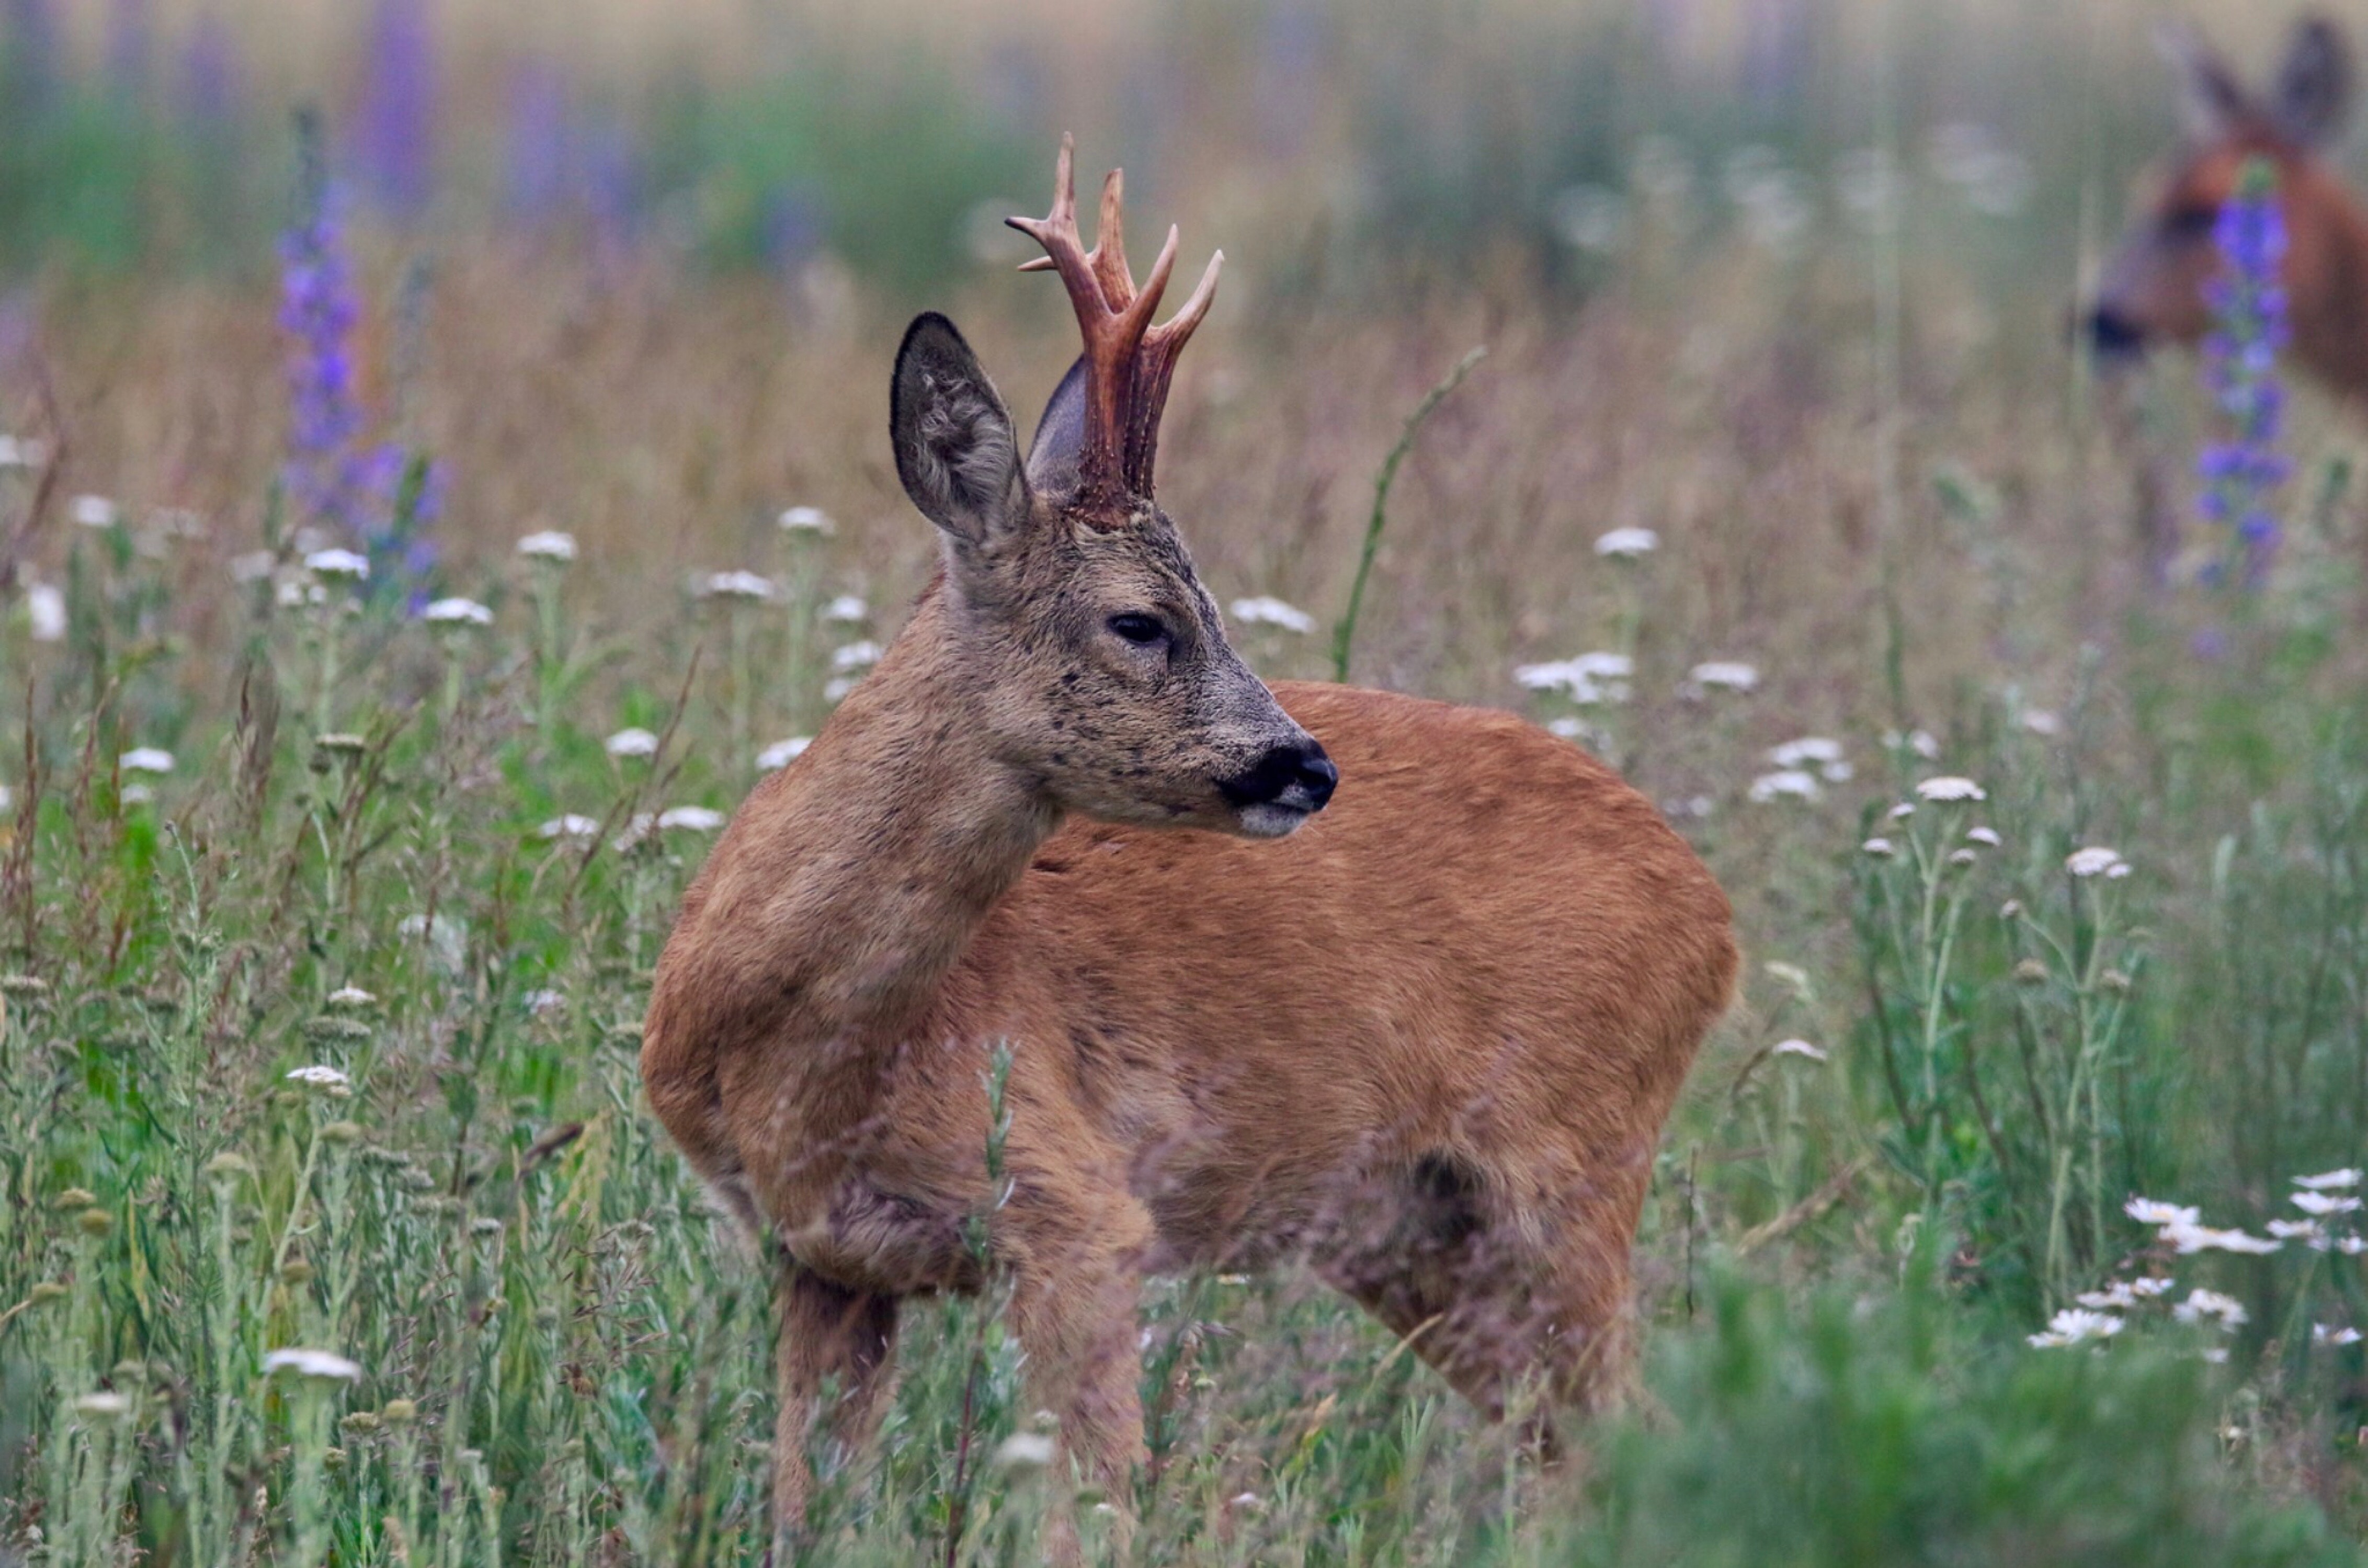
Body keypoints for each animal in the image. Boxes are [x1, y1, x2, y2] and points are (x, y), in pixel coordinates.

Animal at [648, 138, 1743, 1568]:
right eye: (1141, 620)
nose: (1303, 765)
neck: (795, 1041)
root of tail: (1712, 910)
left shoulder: (1075, 1209)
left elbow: (1096, 1510)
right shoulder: (815, 1256)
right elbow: (804, 1515)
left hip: (1574, 1160)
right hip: (1414, 1235)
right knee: (1591, 1448)